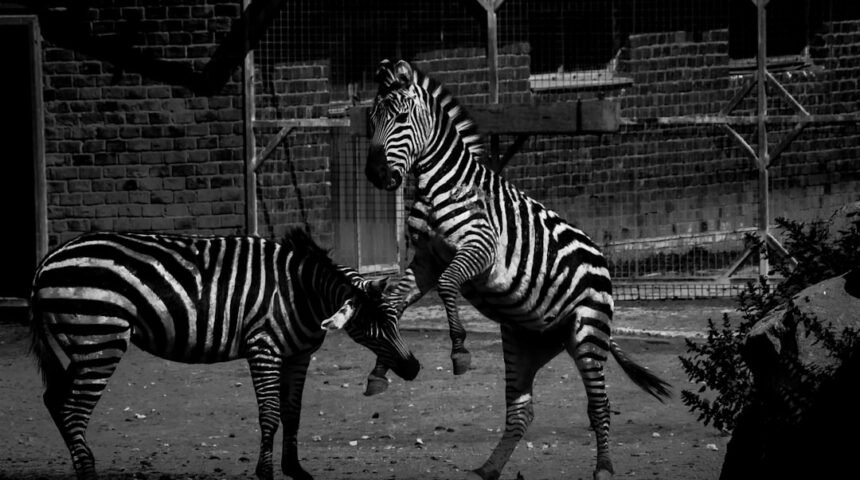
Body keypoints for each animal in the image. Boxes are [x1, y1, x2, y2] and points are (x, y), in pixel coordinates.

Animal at [29, 229, 420, 480]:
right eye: (370, 326)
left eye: (395, 318)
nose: (414, 368)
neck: (301, 293)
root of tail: (47, 259)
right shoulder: (264, 349)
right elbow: (271, 416)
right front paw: (266, 472)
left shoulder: (298, 356)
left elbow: (293, 414)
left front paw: (295, 470)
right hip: (100, 339)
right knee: (74, 410)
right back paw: (87, 470)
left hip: (80, 345)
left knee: (54, 400)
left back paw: (82, 461)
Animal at [363, 59, 672, 480]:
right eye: (371, 120)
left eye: (401, 117)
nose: (376, 174)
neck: (440, 185)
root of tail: (602, 261)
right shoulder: (426, 259)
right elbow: (392, 301)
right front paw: (382, 368)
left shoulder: (479, 249)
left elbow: (447, 286)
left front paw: (459, 351)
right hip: (523, 343)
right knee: (521, 411)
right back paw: (487, 470)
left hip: (588, 332)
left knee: (599, 405)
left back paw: (604, 469)